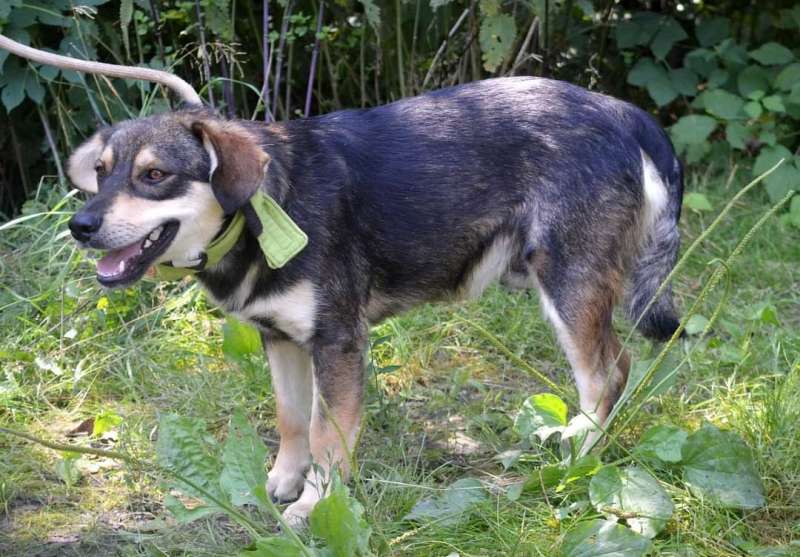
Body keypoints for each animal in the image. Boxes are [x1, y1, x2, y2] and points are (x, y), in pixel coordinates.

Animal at [65, 76, 683, 526]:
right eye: (100, 172)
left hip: (569, 286)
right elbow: (292, 418)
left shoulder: (338, 344)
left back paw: (581, 458)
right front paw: (283, 480)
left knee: (606, 373)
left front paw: (314, 503)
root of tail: (623, 112)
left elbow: (326, 435)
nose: (79, 227)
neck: (266, 208)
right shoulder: (280, 339)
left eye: (154, 175)